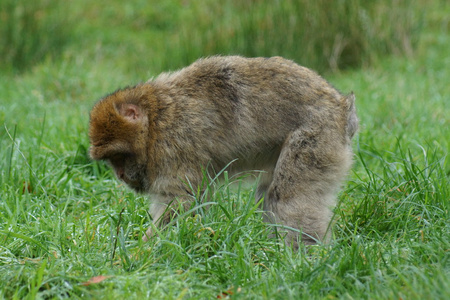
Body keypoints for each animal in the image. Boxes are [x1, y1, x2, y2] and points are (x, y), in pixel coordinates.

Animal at [89, 56, 358, 248]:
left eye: (119, 157)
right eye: (111, 161)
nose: (120, 175)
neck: (155, 119)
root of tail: (342, 107)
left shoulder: (173, 145)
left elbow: (184, 202)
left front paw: (139, 254)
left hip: (316, 137)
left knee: (287, 198)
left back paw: (304, 257)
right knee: (269, 196)